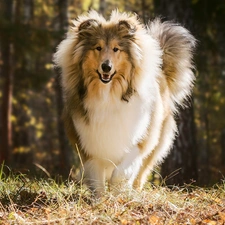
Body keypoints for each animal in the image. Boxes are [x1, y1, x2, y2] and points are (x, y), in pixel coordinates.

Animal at [53, 10, 196, 195]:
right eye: (98, 48)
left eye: (116, 49)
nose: (106, 67)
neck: (108, 95)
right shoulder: (89, 144)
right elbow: (97, 180)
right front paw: (102, 199)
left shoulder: (139, 138)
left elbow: (121, 173)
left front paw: (119, 193)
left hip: (156, 143)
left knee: (141, 174)